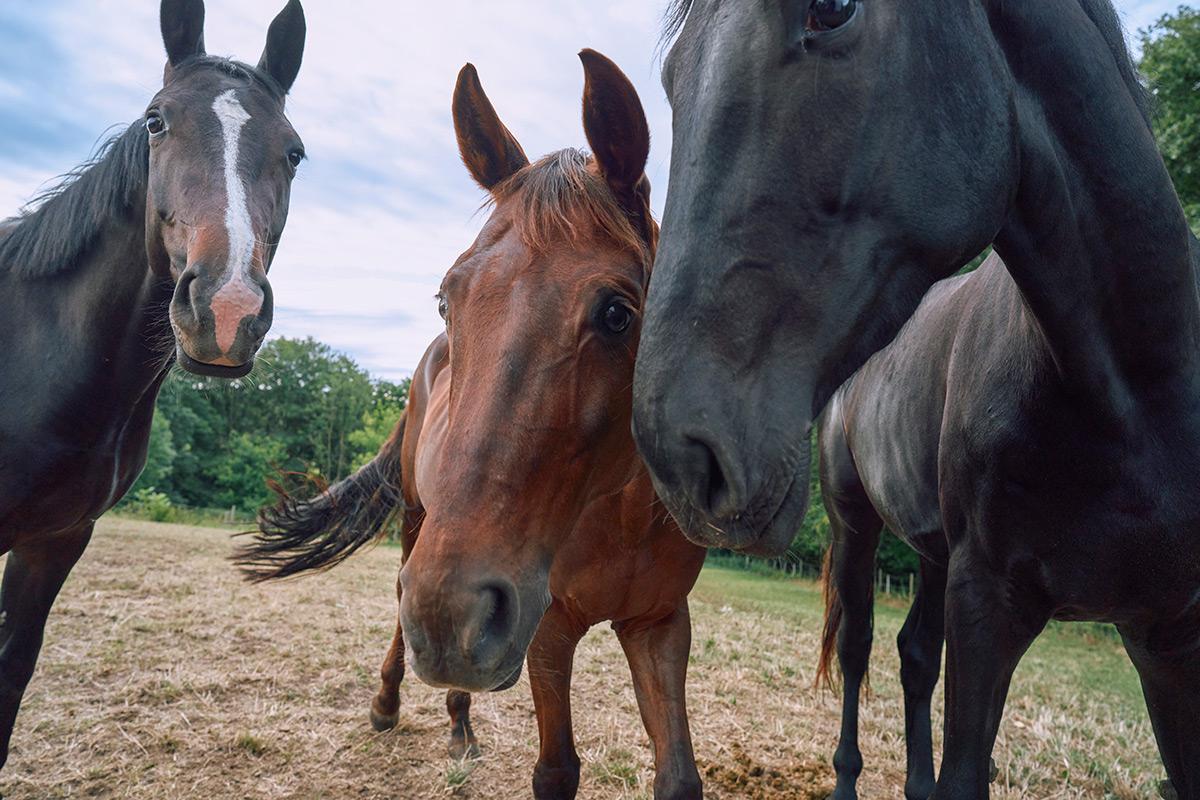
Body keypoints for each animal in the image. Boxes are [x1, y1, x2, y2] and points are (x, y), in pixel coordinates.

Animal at [242, 54, 705, 800]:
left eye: (618, 313)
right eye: (445, 299)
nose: (450, 617)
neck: (621, 514)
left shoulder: (659, 624)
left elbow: (680, 776)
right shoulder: (547, 626)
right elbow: (556, 771)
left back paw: (457, 720)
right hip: (421, 527)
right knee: (400, 599)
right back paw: (395, 705)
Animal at [638, 1, 1200, 800]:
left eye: (833, 9)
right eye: (672, 73)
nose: (679, 457)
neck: (1134, 398)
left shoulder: (1171, 638)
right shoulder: (986, 607)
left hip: (933, 553)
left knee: (913, 654)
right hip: (857, 526)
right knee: (860, 648)